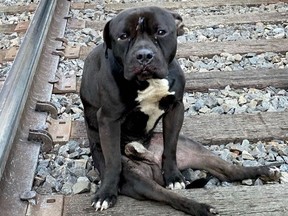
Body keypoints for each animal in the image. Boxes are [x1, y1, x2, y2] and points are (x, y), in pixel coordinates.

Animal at [80, 5, 280, 215]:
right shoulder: (109, 119)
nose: (144, 55)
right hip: (138, 180)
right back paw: (203, 207)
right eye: (123, 36)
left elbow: (170, 146)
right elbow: (112, 161)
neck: (149, 82)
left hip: (198, 151)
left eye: (161, 32)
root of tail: (146, 155)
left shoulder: (176, 108)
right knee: (167, 195)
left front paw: (173, 176)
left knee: (230, 171)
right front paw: (106, 194)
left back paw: (265, 171)